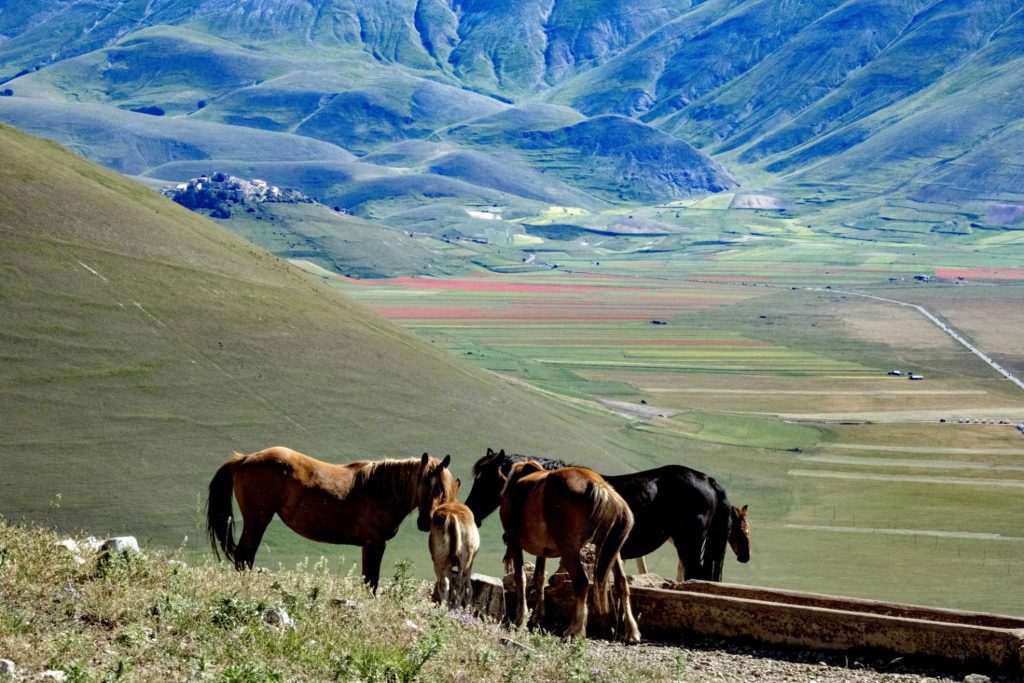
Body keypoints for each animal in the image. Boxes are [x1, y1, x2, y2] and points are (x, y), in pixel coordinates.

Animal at [206, 447, 457, 592]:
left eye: (441, 489)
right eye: (422, 484)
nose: (424, 523)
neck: (380, 490)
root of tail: (244, 459)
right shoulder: (374, 544)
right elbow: (371, 581)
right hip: (257, 521)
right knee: (244, 556)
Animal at [499, 460, 640, 643]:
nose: (504, 540)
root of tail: (599, 486)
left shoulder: (515, 542)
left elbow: (521, 578)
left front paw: (520, 618)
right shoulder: (542, 550)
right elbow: (539, 578)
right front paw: (537, 616)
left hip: (570, 550)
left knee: (581, 582)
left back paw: (574, 630)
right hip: (611, 550)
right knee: (622, 582)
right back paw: (631, 631)